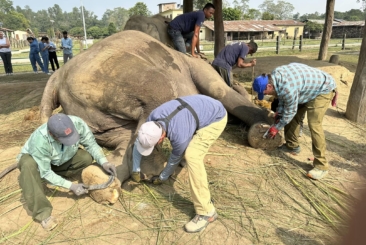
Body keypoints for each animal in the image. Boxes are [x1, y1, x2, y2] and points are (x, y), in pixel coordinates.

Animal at [39, 29, 280, 184]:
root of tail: (57, 77)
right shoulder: (198, 67)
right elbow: (221, 91)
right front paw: (266, 131)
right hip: (107, 76)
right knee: (158, 91)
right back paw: (156, 170)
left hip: (90, 110)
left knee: (122, 134)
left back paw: (100, 179)